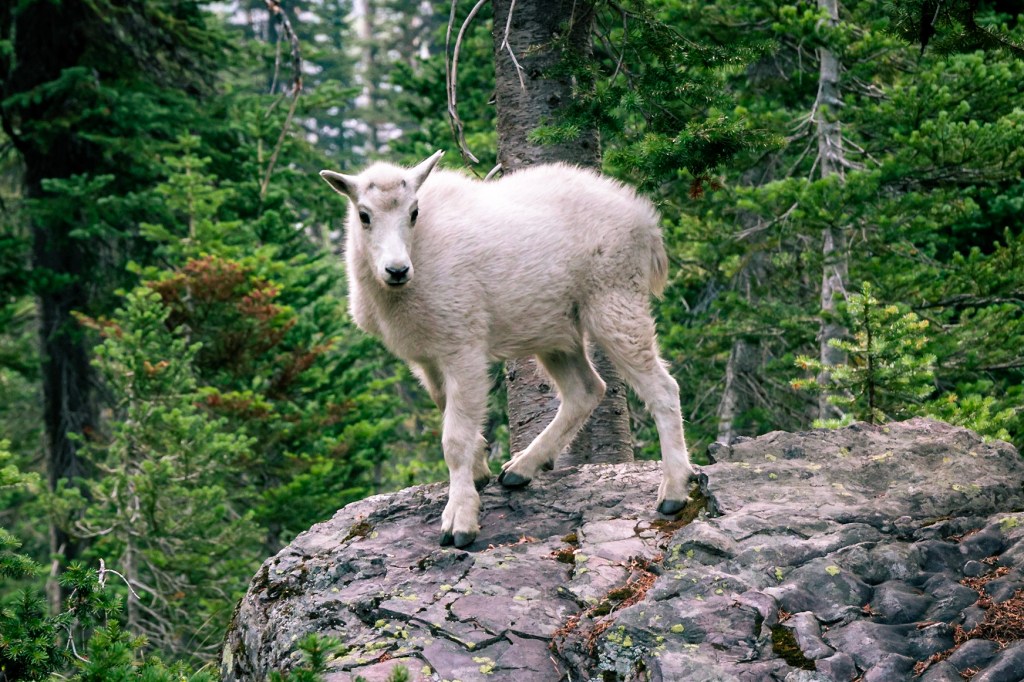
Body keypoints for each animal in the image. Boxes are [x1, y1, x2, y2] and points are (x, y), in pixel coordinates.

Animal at [320, 151, 695, 548]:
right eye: (364, 215)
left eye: (413, 212)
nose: (396, 270)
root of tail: (645, 220)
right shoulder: (428, 358)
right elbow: (446, 410)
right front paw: (480, 470)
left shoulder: (463, 346)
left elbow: (454, 438)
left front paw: (460, 520)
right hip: (555, 330)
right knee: (586, 389)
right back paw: (521, 468)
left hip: (614, 300)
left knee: (662, 389)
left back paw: (673, 491)